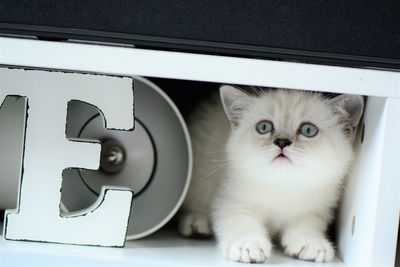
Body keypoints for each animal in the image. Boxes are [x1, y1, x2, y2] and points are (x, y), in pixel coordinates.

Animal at [180, 86, 364, 264]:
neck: (282, 183)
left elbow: (308, 224)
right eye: (264, 127)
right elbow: (240, 221)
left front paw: (311, 243)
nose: (282, 141)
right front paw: (248, 245)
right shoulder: (232, 200)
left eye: (308, 130)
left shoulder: (316, 208)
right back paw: (196, 223)